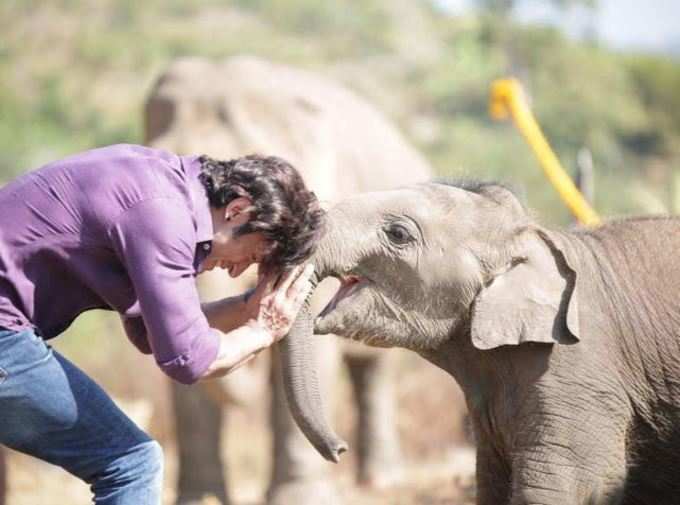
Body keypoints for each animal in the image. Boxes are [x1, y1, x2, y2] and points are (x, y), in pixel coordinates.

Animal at [284, 181, 680, 504]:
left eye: (397, 234)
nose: (340, 449)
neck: (532, 236)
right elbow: (491, 488)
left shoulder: (578, 376)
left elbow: (566, 488)